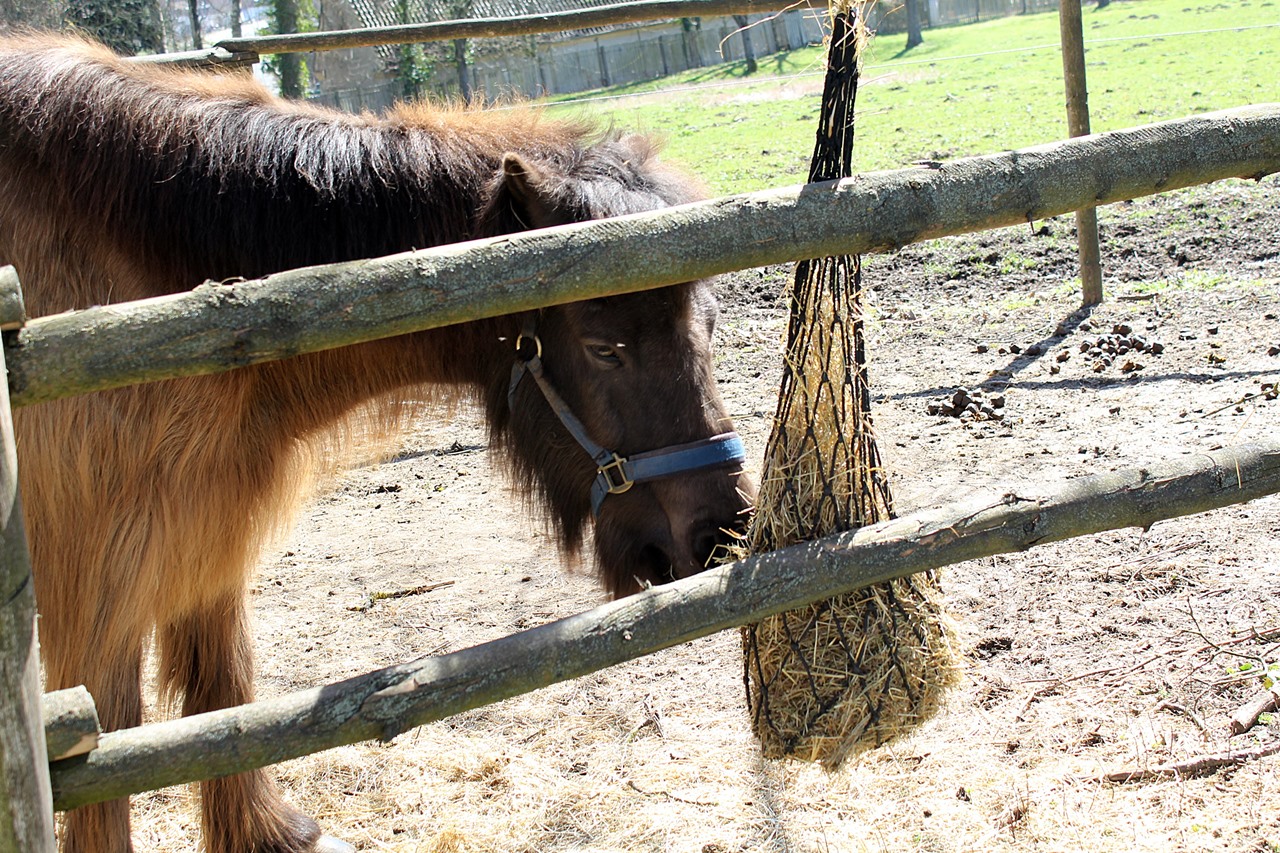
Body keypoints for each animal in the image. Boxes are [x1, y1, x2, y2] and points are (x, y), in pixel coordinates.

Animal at [0, 34, 754, 853]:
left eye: (712, 323)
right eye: (605, 347)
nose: (723, 532)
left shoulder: (205, 520)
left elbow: (220, 690)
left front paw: (267, 833)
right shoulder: (94, 567)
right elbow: (108, 748)